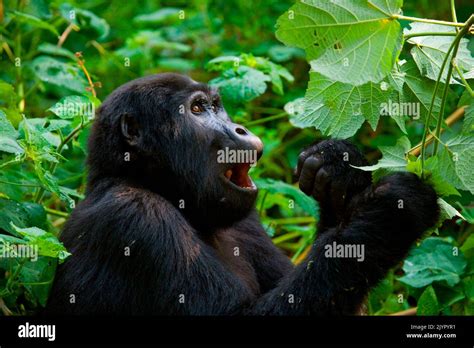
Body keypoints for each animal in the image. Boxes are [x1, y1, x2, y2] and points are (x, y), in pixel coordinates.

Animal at [45, 72, 440, 316]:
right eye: (197, 109)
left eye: (217, 106)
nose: (240, 128)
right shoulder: (135, 217)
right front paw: (393, 213)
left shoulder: (246, 220)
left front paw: (336, 170)